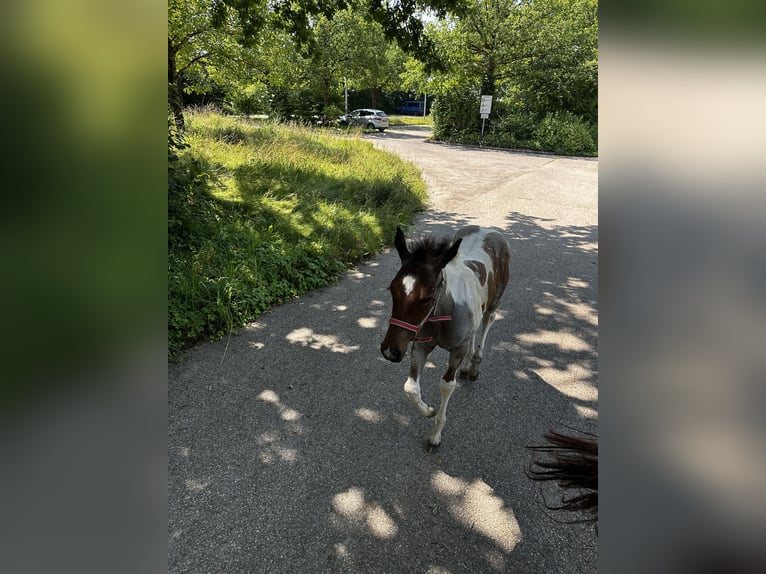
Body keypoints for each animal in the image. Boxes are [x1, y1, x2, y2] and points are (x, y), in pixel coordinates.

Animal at [382, 227, 512, 448]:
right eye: (391, 289)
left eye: (426, 298)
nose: (391, 351)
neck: (441, 316)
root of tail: (490, 231)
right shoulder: (420, 346)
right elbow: (411, 387)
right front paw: (428, 410)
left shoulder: (457, 350)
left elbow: (446, 385)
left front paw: (435, 434)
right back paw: (467, 367)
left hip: (494, 304)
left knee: (486, 324)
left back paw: (474, 366)